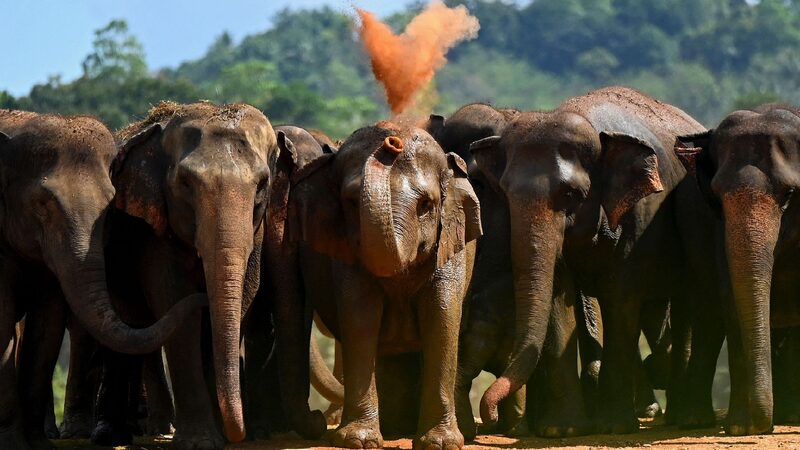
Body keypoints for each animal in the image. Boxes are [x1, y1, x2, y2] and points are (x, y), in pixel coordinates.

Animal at [0, 110, 203, 450]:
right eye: (41, 203)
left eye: (111, 205)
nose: (202, 298)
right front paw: (14, 445)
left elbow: (48, 325)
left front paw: (37, 445)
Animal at [92, 102, 324, 449]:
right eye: (186, 184)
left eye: (262, 185)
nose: (321, 419)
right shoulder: (155, 226)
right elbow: (173, 297)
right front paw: (200, 441)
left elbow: (245, 294)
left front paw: (229, 435)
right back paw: (115, 433)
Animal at [269, 121, 481, 449]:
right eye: (351, 203)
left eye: (426, 205)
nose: (391, 141)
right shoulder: (343, 249)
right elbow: (361, 314)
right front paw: (358, 440)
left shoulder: (450, 242)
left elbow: (442, 315)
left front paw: (440, 443)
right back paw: (394, 428)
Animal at [467, 86, 708, 434]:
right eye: (506, 194)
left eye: (569, 194)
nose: (490, 415)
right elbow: (558, 298)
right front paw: (561, 430)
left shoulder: (641, 218)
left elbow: (620, 296)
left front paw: (614, 427)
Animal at [674, 103, 800, 435]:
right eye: (716, 197)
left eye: (790, 194)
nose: (765, 427)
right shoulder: (720, 231)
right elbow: (731, 300)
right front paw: (741, 428)